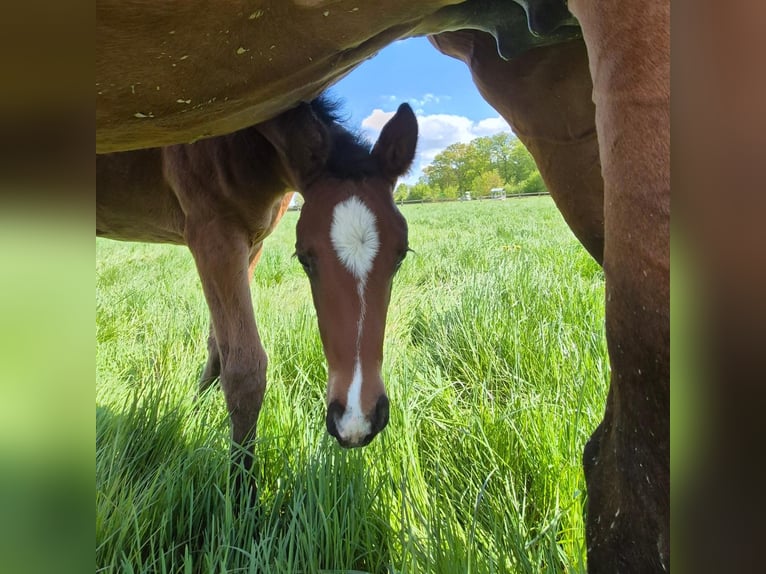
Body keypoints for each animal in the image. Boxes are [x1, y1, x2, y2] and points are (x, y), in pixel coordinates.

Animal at [97, 99, 420, 472]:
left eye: (401, 256)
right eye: (304, 259)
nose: (357, 419)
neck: (239, 143)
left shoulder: (252, 245)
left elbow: (218, 346)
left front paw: (193, 413)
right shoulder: (213, 236)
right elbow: (244, 370)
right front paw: (241, 483)